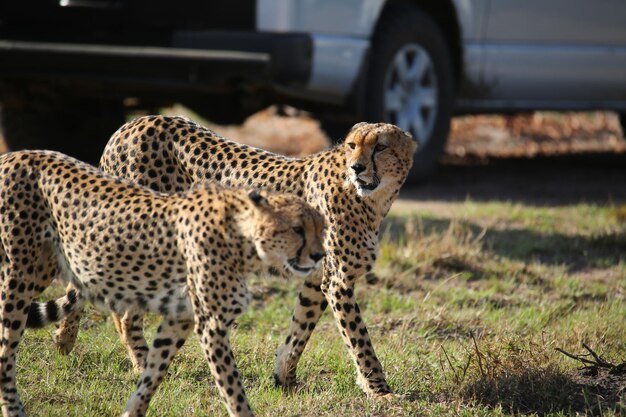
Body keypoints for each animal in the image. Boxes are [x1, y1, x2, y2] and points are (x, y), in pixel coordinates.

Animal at [0, 150, 322, 416]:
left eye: (320, 228)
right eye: (297, 229)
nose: (320, 255)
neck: (243, 237)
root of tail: (12, 156)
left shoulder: (181, 317)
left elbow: (153, 373)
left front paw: (133, 409)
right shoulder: (212, 324)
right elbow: (233, 388)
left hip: (44, 267)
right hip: (20, 275)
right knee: (7, 350)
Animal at [58, 115, 416, 394]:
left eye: (380, 147)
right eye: (353, 146)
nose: (356, 167)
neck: (372, 199)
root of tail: (133, 123)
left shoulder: (318, 279)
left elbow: (300, 329)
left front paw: (283, 379)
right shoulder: (337, 281)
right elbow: (359, 339)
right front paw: (380, 390)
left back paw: (65, 342)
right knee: (120, 308)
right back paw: (140, 362)